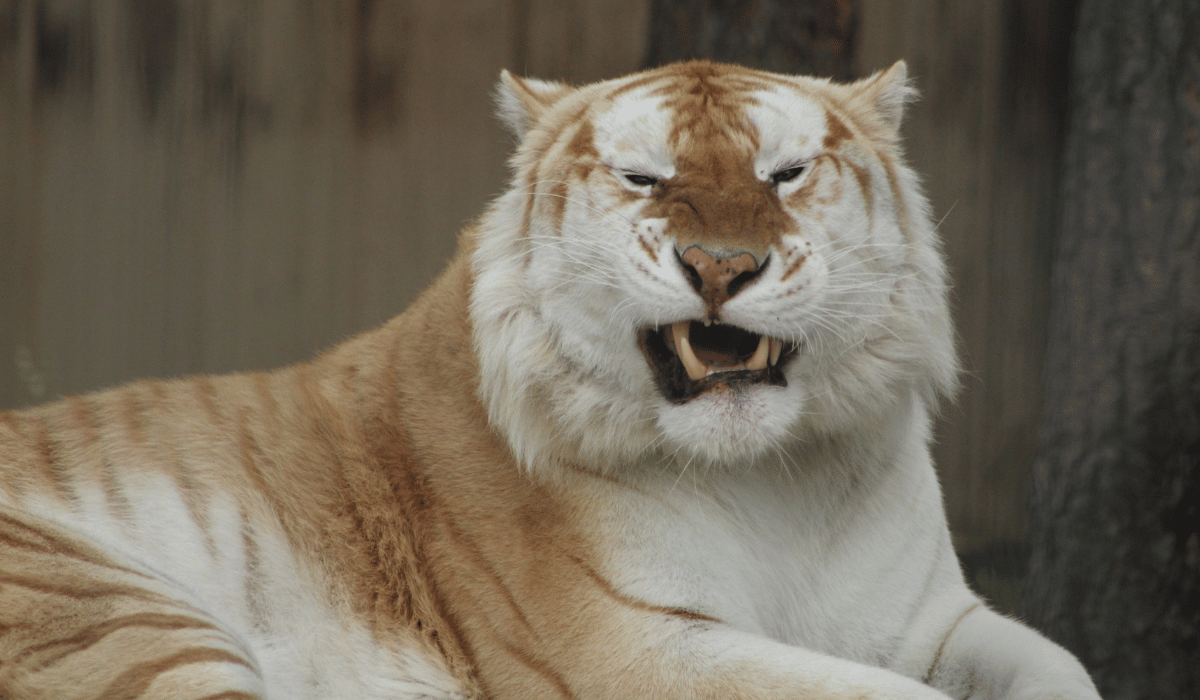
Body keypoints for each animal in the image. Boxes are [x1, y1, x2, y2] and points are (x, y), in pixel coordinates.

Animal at [0, 60, 1101, 700]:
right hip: (117, 615)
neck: (778, 479)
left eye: (785, 173)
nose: (720, 266)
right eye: (643, 178)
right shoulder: (635, 646)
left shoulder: (931, 619)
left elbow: (1065, 669)